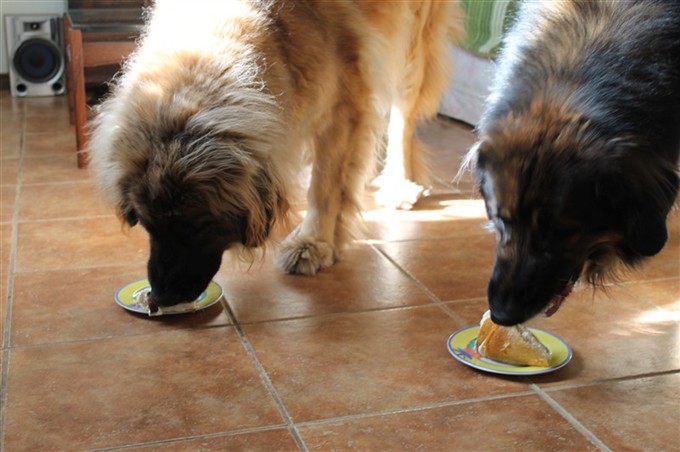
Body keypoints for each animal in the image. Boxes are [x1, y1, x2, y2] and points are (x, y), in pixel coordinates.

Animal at [87, 0, 464, 308]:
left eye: (196, 225)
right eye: (146, 224)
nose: (161, 297)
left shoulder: (342, 102)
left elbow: (325, 185)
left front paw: (313, 242)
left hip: (413, 37)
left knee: (403, 112)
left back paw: (400, 182)